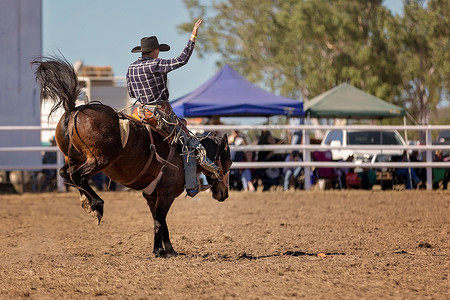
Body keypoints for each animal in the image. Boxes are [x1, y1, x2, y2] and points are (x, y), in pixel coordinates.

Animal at [32, 56, 232, 258]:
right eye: (229, 163)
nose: (224, 193)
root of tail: (75, 111)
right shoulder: (166, 193)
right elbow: (160, 221)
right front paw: (161, 250)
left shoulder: (152, 195)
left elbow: (160, 222)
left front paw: (167, 249)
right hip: (99, 160)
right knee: (77, 176)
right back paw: (97, 205)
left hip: (74, 158)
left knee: (65, 173)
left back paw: (87, 202)